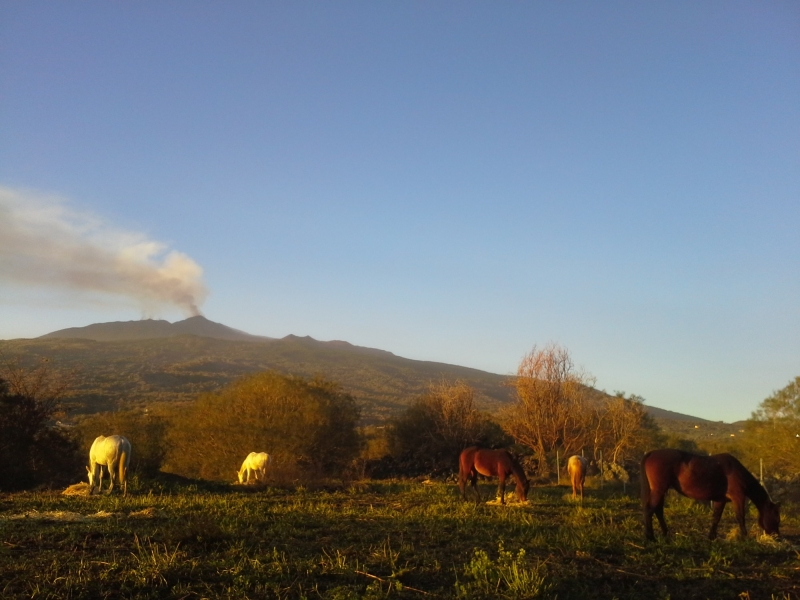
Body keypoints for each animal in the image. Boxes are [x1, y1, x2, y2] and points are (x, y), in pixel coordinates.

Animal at [644, 448, 780, 540]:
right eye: (776, 518)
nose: (777, 537)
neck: (737, 472)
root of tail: (651, 453)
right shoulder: (738, 498)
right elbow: (740, 517)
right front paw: (745, 537)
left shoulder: (720, 500)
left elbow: (716, 517)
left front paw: (711, 536)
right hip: (659, 490)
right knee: (650, 509)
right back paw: (650, 537)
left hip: (660, 491)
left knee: (658, 511)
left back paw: (665, 534)